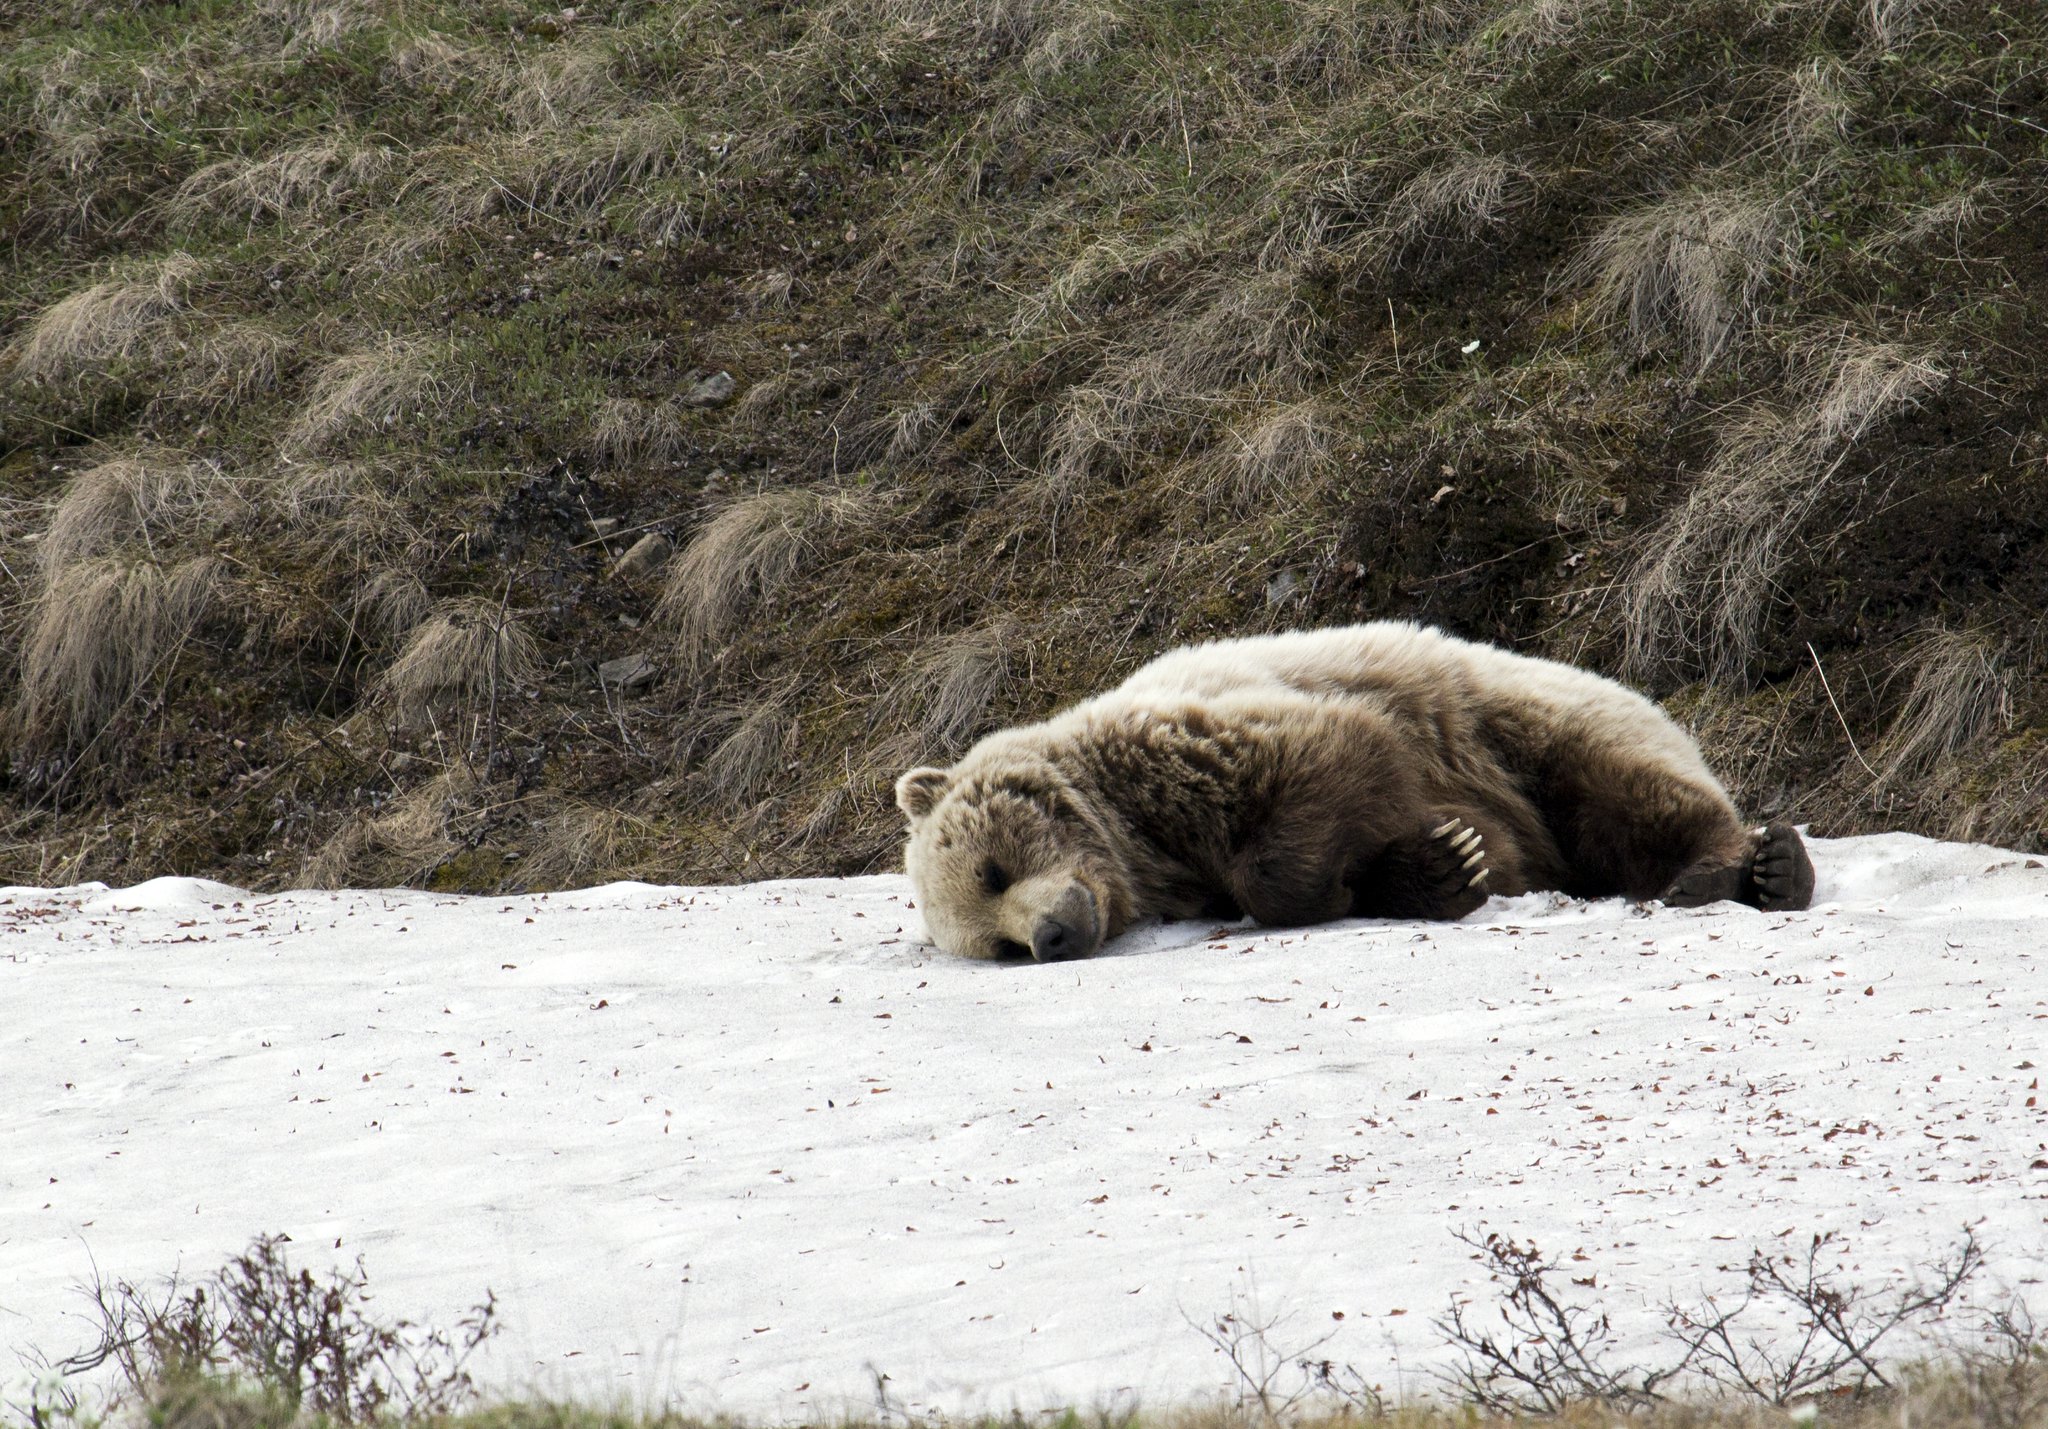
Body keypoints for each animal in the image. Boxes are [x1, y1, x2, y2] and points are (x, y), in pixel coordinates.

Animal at [894, 621, 1814, 961]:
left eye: (991, 870)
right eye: (996, 943)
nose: (1052, 934)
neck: (1142, 839)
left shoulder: (1209, 738)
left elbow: (1331, 761)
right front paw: (1443, 867)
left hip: (1529, 721)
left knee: (1623, 787)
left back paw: (1748, 868)